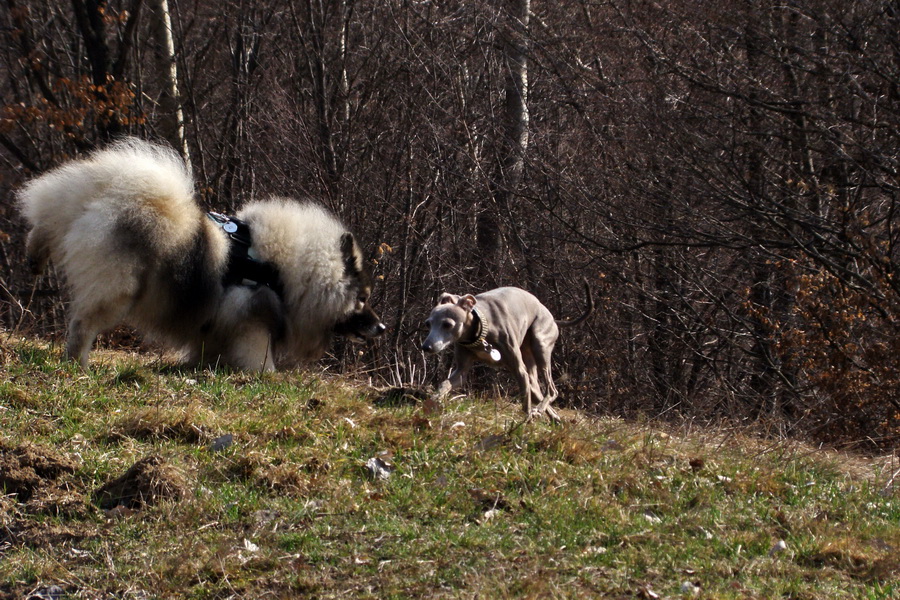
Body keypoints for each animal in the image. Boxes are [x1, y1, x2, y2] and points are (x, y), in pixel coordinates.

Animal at [16, 138, 384, 370]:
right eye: (363, 299)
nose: (381, 327)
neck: (287, 272)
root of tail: (111, 194)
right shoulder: (251, 315)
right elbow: (260, 357)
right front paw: (263, 375)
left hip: (74, 215)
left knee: (47, 221)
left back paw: (34, 257)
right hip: (116, 290)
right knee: (83, 324)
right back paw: (77, 363)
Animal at [420, 282, 596, 420]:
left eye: (447, 324)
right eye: (428, 324)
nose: (426, 347)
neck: (479, 332)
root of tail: (552, 318)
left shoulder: (519, 369)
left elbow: (525, 404)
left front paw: (524, 424)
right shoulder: (461, 371)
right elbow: (445, 384)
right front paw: (432, 402)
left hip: (540, 345)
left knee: (552, 390)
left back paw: (539, 409)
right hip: (530, 365)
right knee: (538, 391)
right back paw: (554, 419)